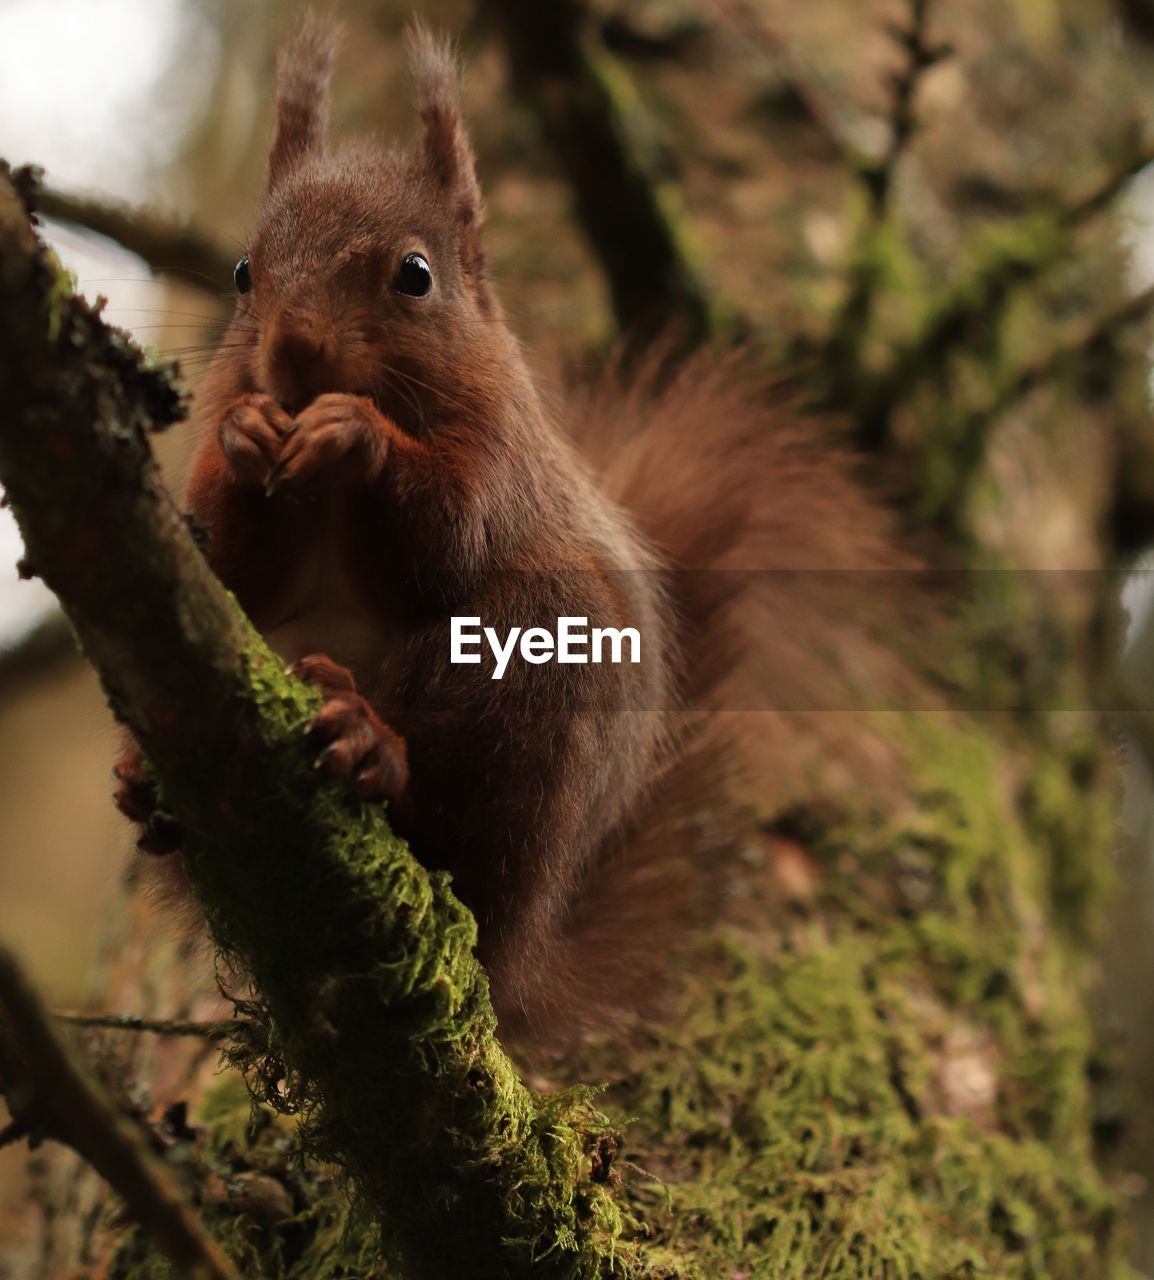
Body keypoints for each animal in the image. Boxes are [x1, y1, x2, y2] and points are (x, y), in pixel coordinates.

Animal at [115, 15, 910, 1044]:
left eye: (415, 275)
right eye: (245, 273)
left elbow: (440, 546)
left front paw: (355, 437)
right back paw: (148, 783)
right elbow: (238, 573)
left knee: (450, 821)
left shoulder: (499, 455)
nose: (292, 352)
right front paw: (249, 438)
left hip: (533, 666)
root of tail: (525, 942)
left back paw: (370, 743)